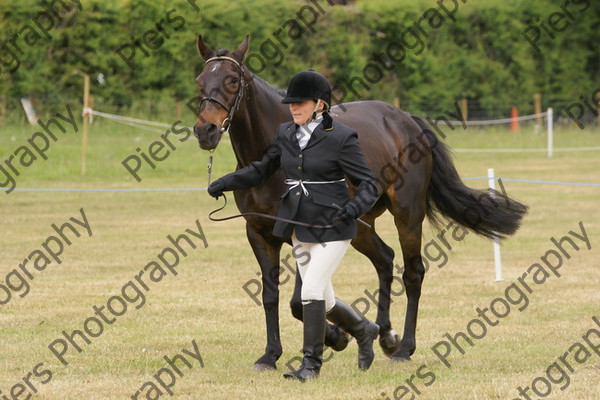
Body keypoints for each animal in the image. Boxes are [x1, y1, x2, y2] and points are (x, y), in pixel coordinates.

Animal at [192, 35, 524, 372]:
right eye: (200, 81)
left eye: (232, 80)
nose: (205, 130)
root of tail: (406, 120)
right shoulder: (258, 234)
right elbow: (271, 297)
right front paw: (271, 355)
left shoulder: (301, 232)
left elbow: (300, 301)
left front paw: (335, 337)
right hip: (361, 226)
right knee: (385, 259)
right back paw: (385, 334)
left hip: (407, 214)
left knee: (413, 273)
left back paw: (404, 347)